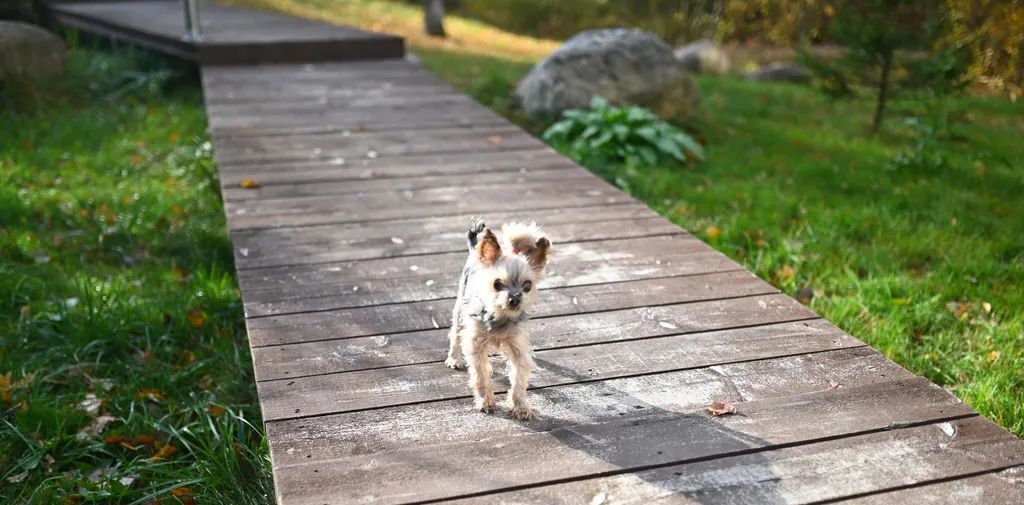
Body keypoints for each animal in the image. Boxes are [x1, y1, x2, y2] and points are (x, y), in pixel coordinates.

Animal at [442, 216, 548, 417]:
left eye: (527, 286)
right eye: (497, 284)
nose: (515, 299)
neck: (500, 316)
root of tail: (475, 250)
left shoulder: (518, 348)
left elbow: (519, 378)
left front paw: (520, 406)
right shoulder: (476, 346)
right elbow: (481, 376)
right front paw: (485, 402)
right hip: (460, 308)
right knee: (455, 333)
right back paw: (454, 358)